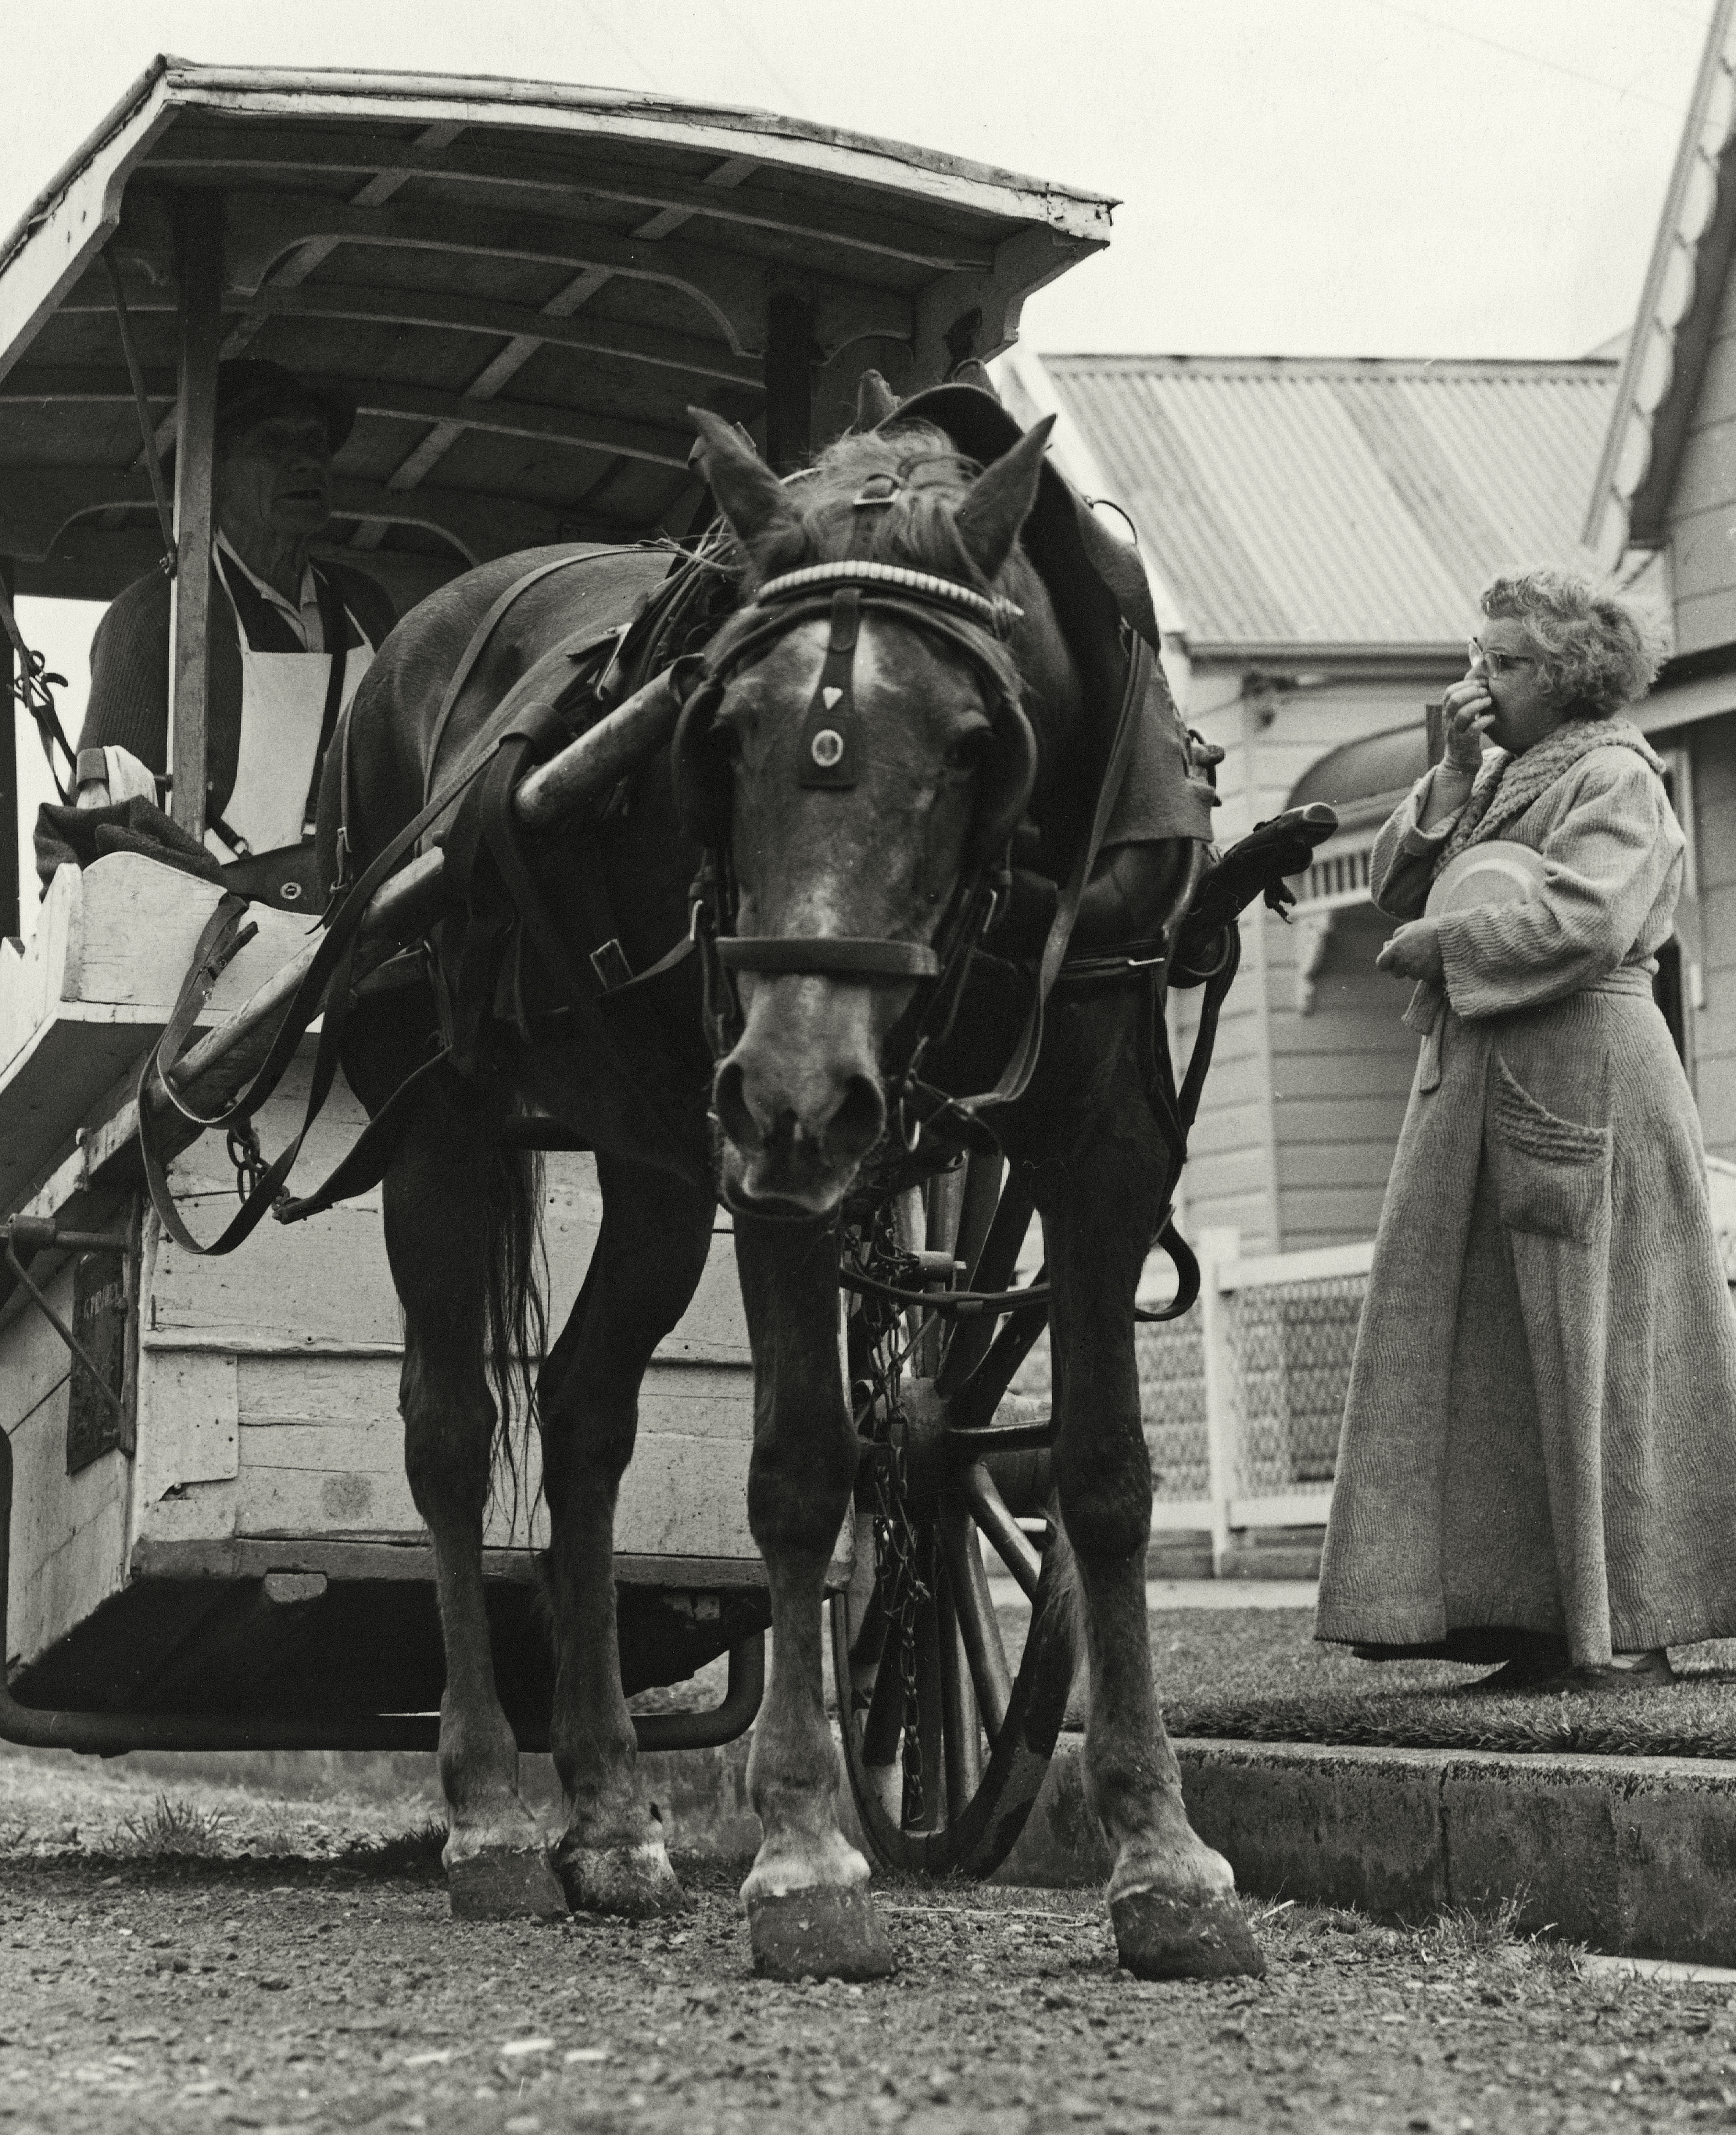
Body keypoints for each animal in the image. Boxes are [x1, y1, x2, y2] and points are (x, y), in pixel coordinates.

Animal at [325, 371, 1264, 1981]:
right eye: (725, 733)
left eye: (971, 738)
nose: (799, 1091)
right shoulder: (774, 1162)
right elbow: (803, 1472)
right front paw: (808, 1855)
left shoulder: (1104, 1150)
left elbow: (1101, 1475)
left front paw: (1163, 1858)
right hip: (448, 1114)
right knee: (449, 1433)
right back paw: (492, 1815)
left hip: (654, 1155)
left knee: (583, 1416)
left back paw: (611, 1816)